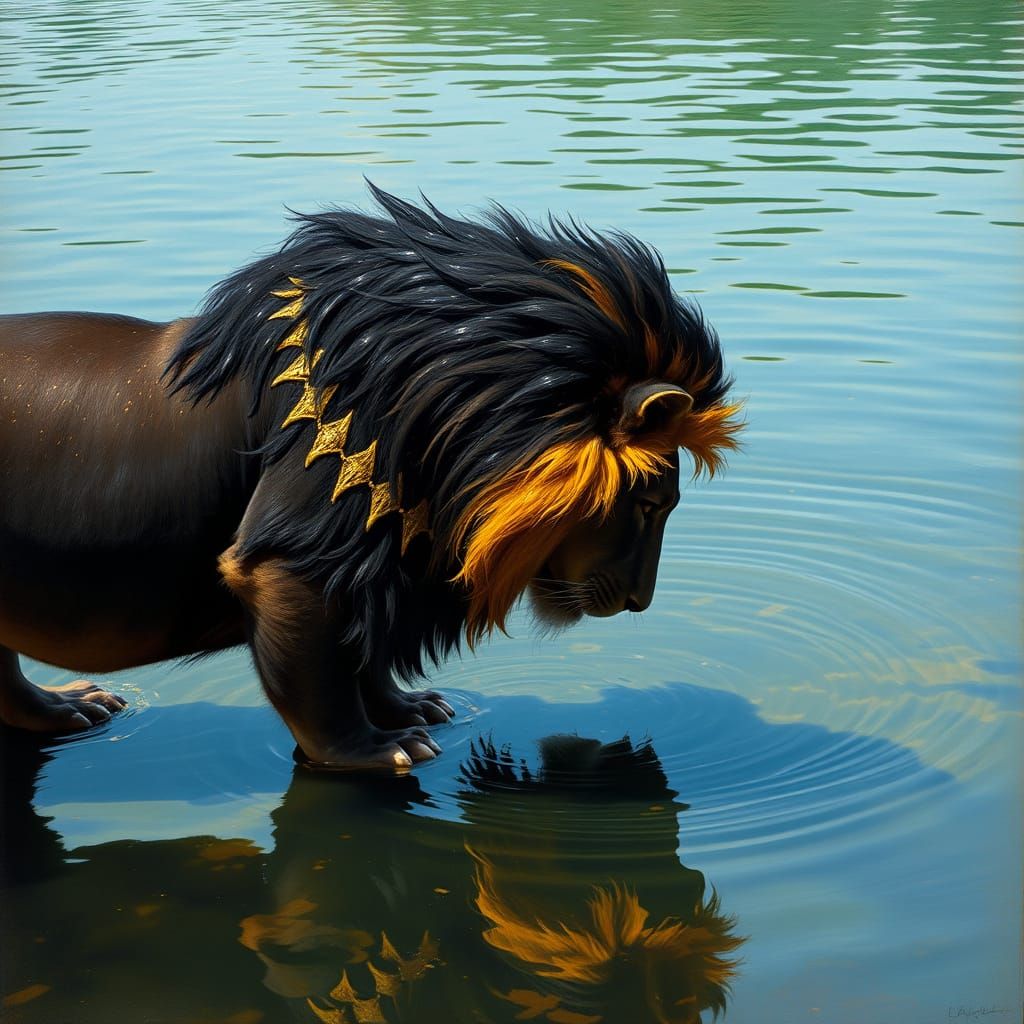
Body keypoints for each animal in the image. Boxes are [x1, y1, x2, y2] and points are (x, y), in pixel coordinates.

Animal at [0, 185, 742, 770]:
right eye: (649, 504)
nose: (641, 602)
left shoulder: (375, 561)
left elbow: (365, 654)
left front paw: (410, 708)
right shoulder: (291, 557)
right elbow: (319, 686)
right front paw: (372, 750)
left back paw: (67, 709)